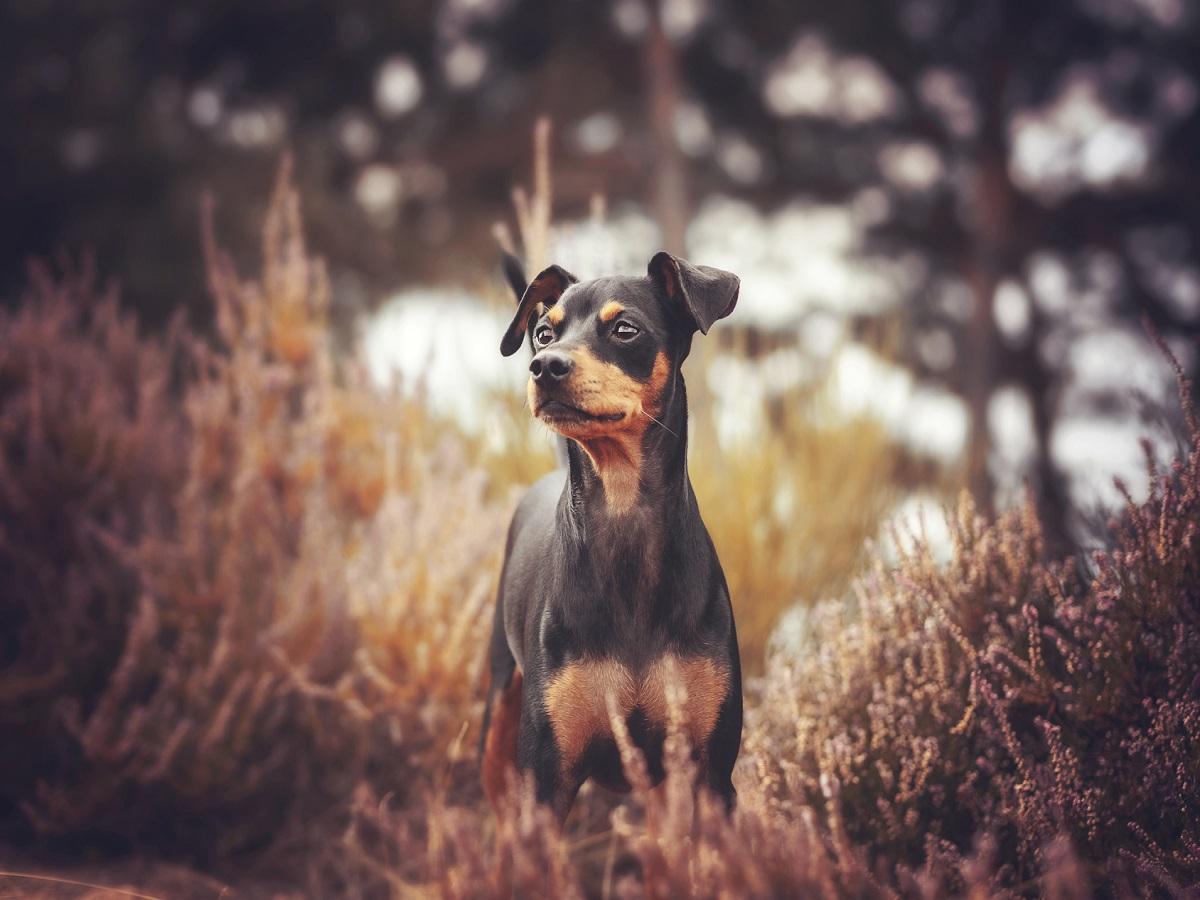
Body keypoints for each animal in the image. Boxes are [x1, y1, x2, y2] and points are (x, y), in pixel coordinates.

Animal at [477, 248, 739, 825]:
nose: (544, 366)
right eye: (544, 333)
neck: (623, 518)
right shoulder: (546, 778)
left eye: (625, 329)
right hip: (498, 712)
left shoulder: (711, 775)